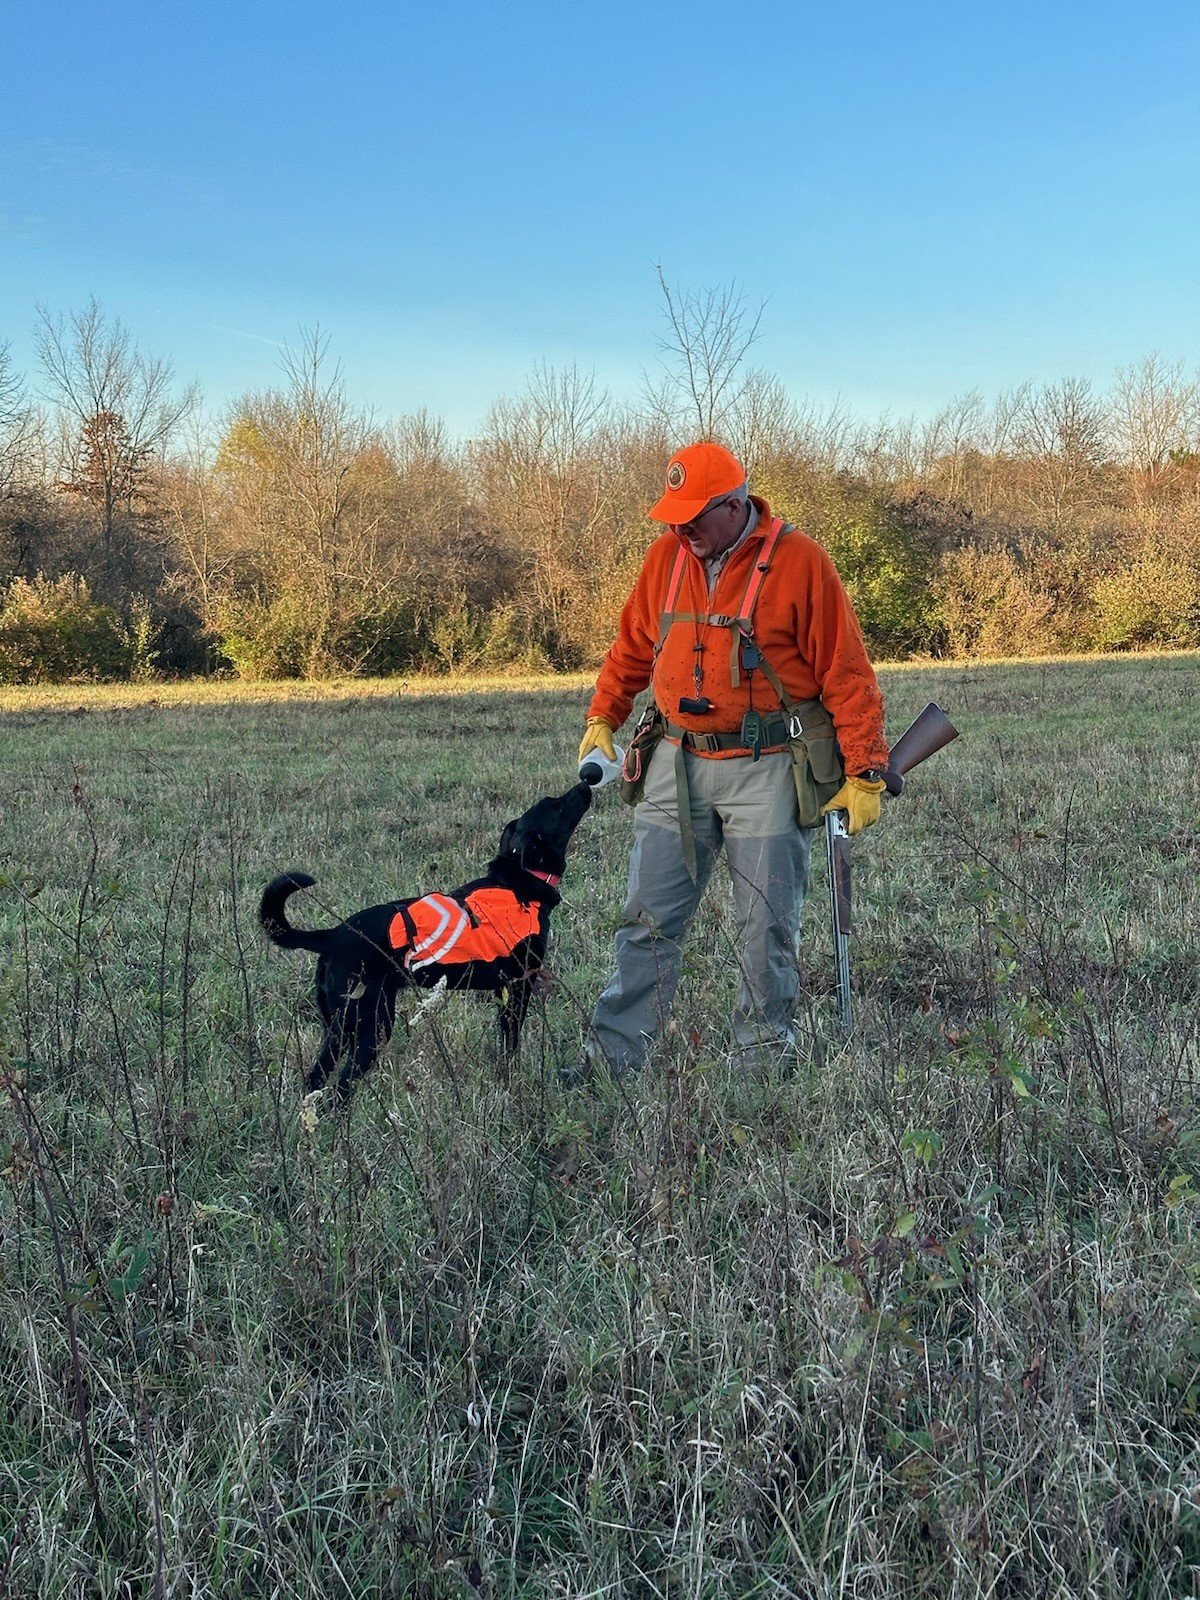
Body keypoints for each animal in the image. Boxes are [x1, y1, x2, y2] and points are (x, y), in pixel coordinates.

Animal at [260, 784, 595, 1100]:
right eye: (556, 805)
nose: (584, 784)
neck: (519, 881)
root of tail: (333, 935)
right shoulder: (519, 986)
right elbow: (511, 1044)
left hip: (339, 1029)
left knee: (316, 1080)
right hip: (371, 1027)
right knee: (339, 1091)